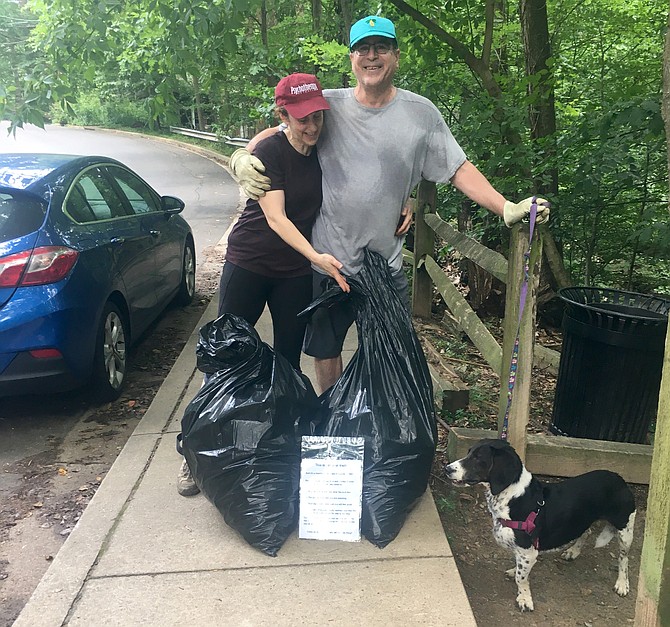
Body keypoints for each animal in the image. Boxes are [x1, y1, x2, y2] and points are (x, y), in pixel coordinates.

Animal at [444, 440, 636, 612]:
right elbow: (519, 568)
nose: (447, 469)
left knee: (624, 558)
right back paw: (573, 552)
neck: (512, 496)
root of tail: (619, 479)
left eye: (478, 457)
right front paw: (515, 571)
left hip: (625, 531)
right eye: (469, 452)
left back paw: (622, 583)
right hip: (582, 520)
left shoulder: (528, 551)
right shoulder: (522, 551)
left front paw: (524, 599)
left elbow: (521, 579)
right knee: (586, 532)